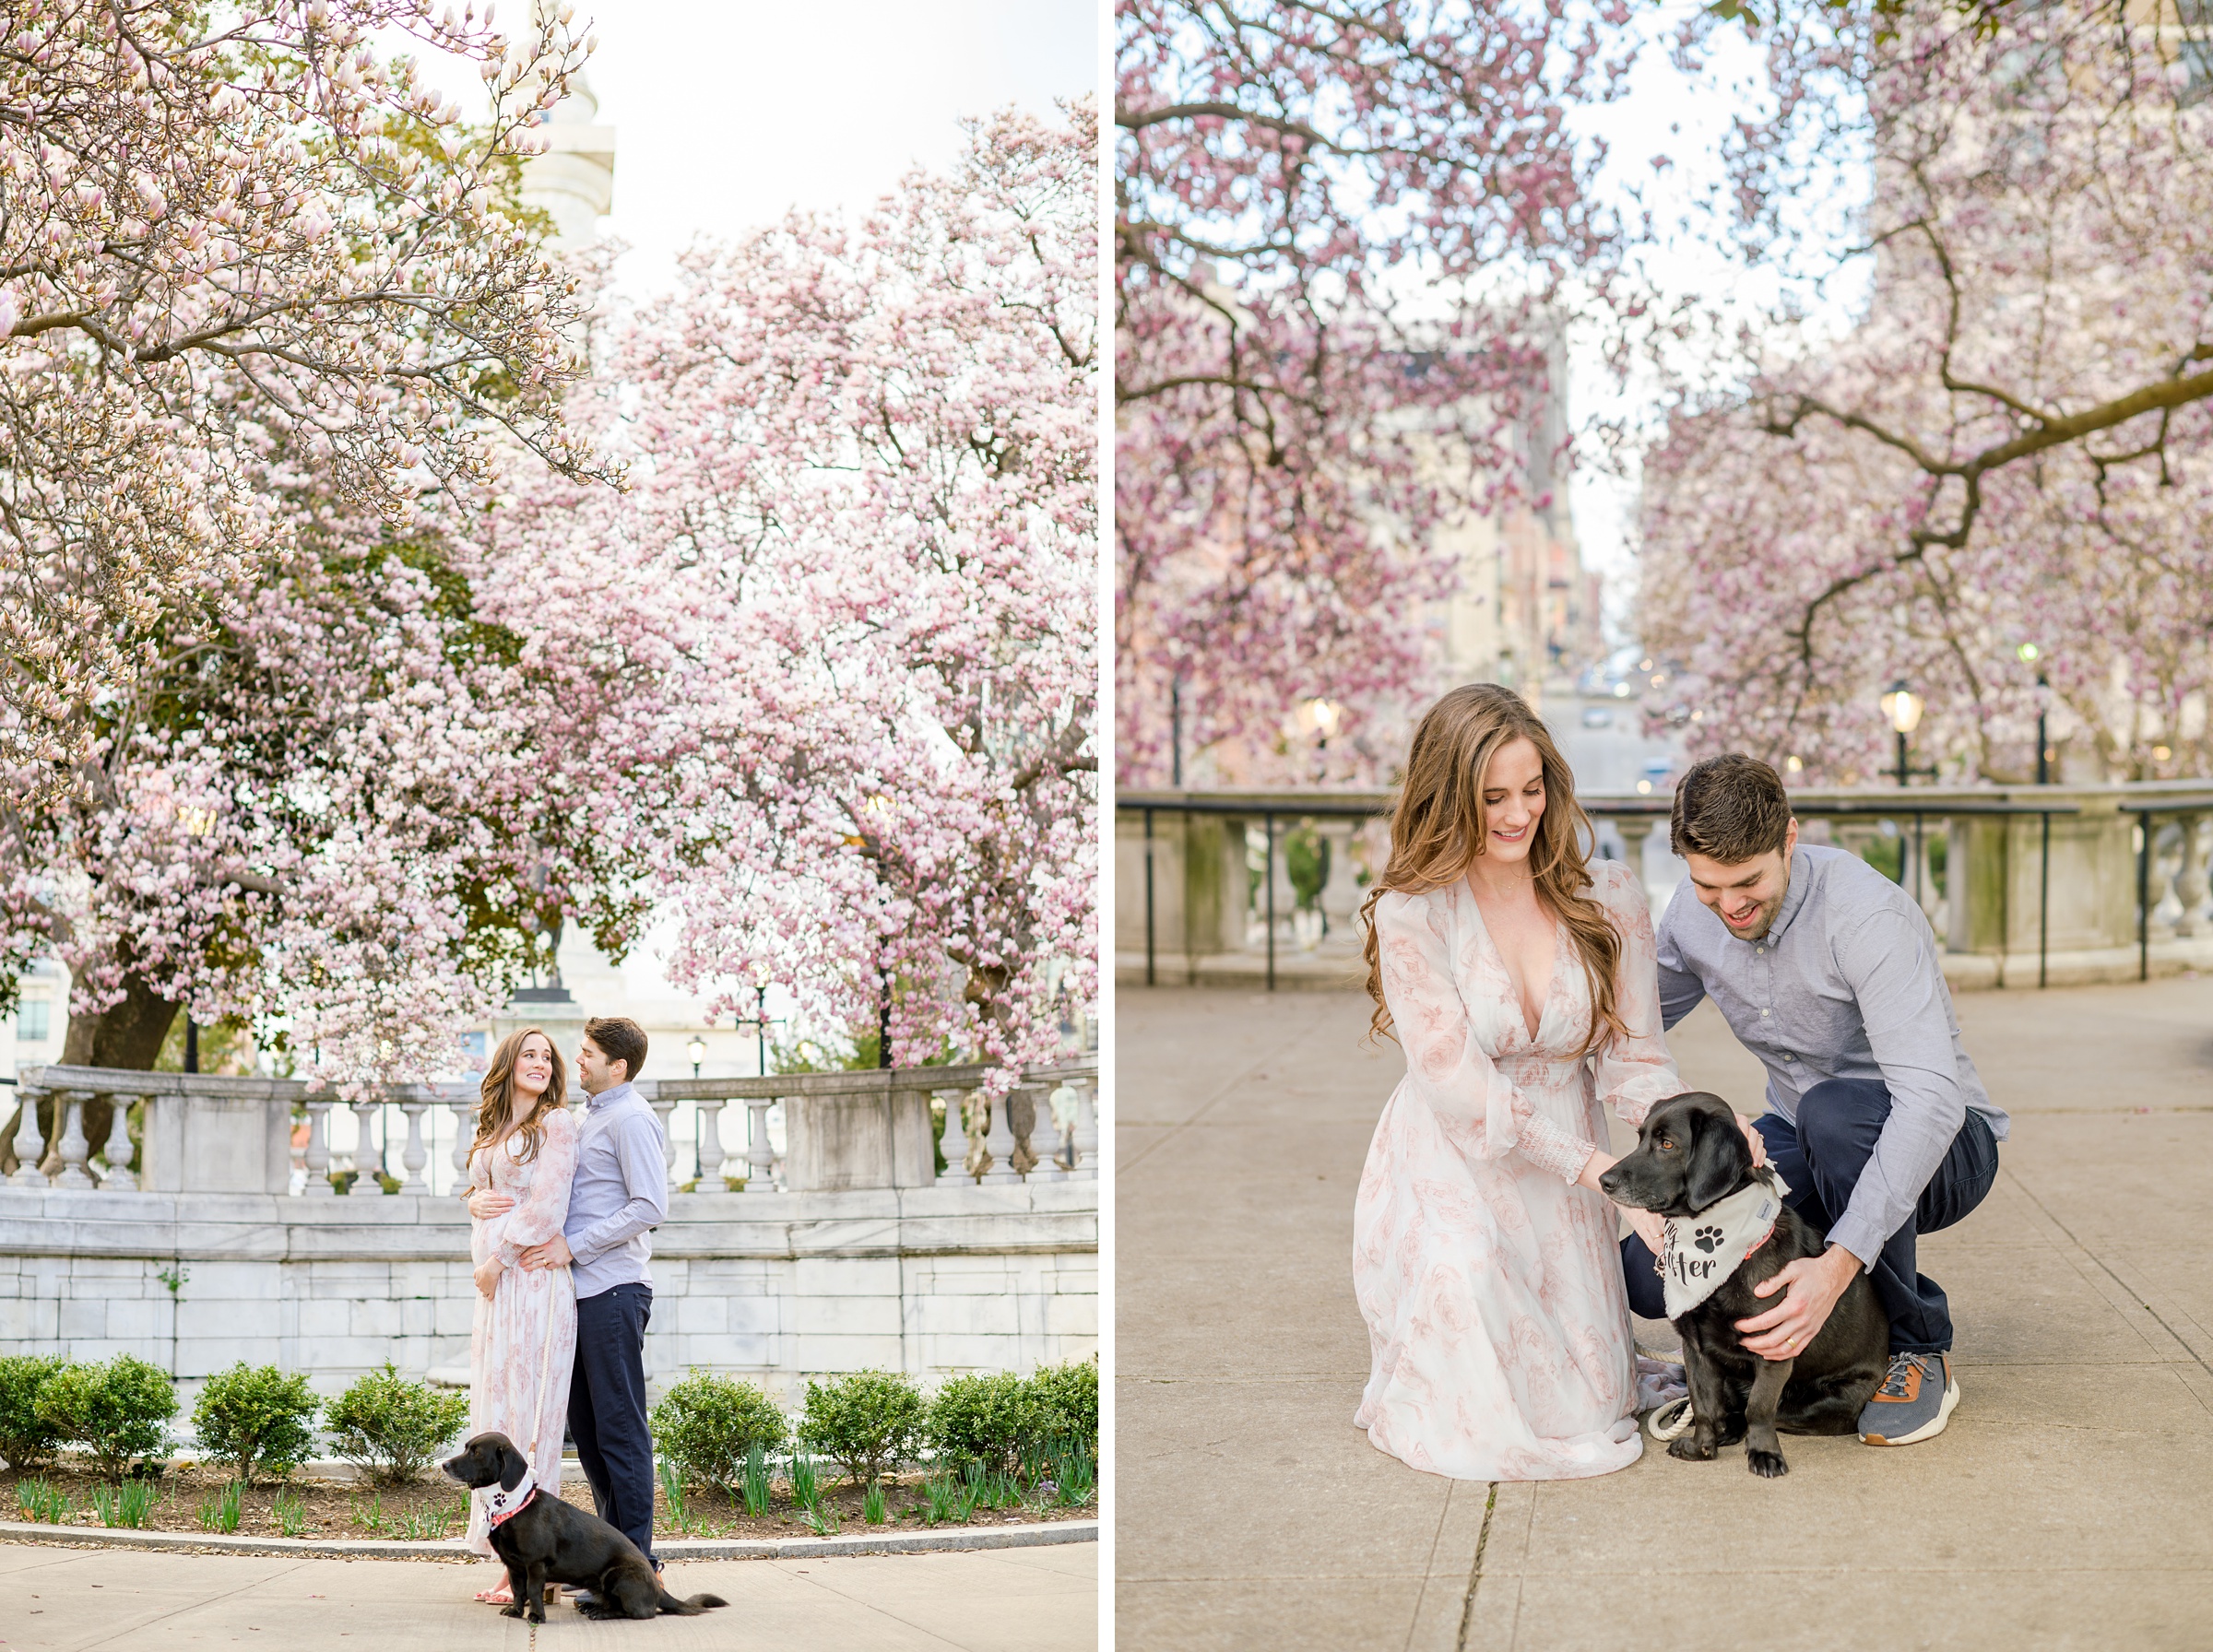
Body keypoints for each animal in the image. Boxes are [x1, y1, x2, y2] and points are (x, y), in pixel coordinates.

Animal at [438, 1423, 726, 1619]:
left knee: (639, 1612)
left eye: (476, 1453)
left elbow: (533, 1591)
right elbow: (519, 1592)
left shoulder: (535, 1564)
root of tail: (657, 1587)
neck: (513, 1505)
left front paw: (536, 1617)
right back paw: (592, 1606)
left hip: (617, 1576)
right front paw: (516, 1612)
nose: (444, 1465)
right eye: (466, 1447)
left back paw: (602, 1613)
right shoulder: (513, 1566)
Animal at [1593, 1092, 1885, 1477]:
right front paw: (1701, 1447)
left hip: (1831, 1400)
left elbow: (1759, 1408)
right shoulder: (1696, 1349)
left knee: (1766, 1412)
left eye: (1666, 1144)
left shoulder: (1774, 1348)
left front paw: (1763, 1453)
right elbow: (1704, 1405)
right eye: (1640, 1138)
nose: (1603, 1179)